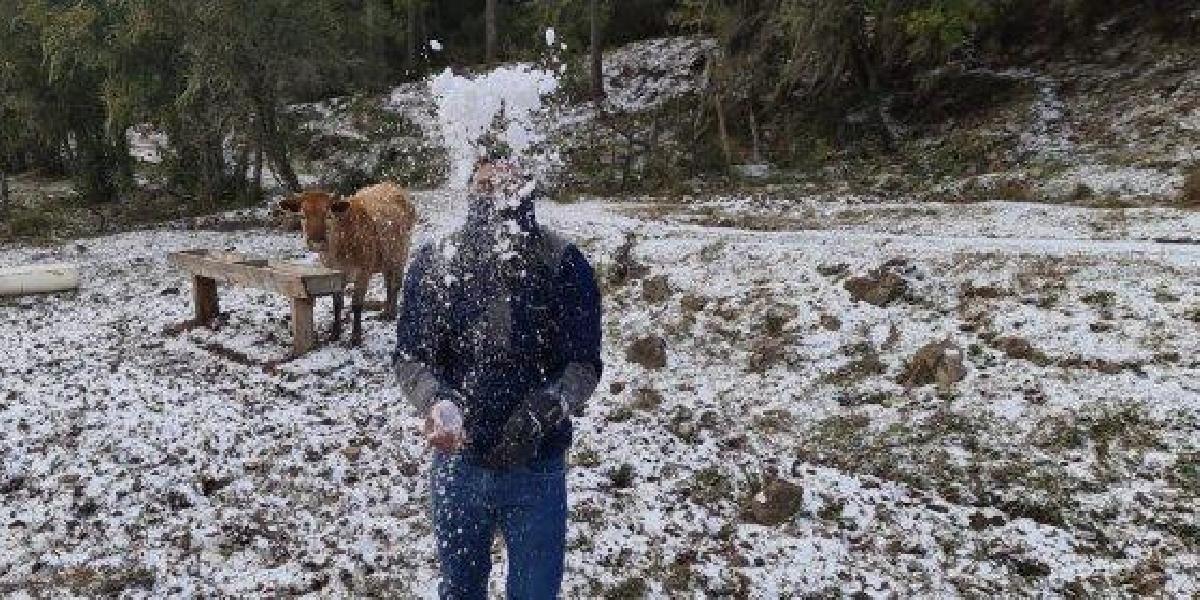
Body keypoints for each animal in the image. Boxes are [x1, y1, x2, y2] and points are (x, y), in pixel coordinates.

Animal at [279, 180, 420, 345]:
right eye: (302, 215)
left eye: (329, 215)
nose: (316, 242)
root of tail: (390, 183)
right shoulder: (334, 275)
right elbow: (337, 304)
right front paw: (334, 334)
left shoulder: (364, 270)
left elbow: (357, 304)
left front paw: (356, 337)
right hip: (387, 258)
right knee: (388, 284)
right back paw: (386, 312)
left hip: (402, 253)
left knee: (396, 284)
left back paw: (392, 314)